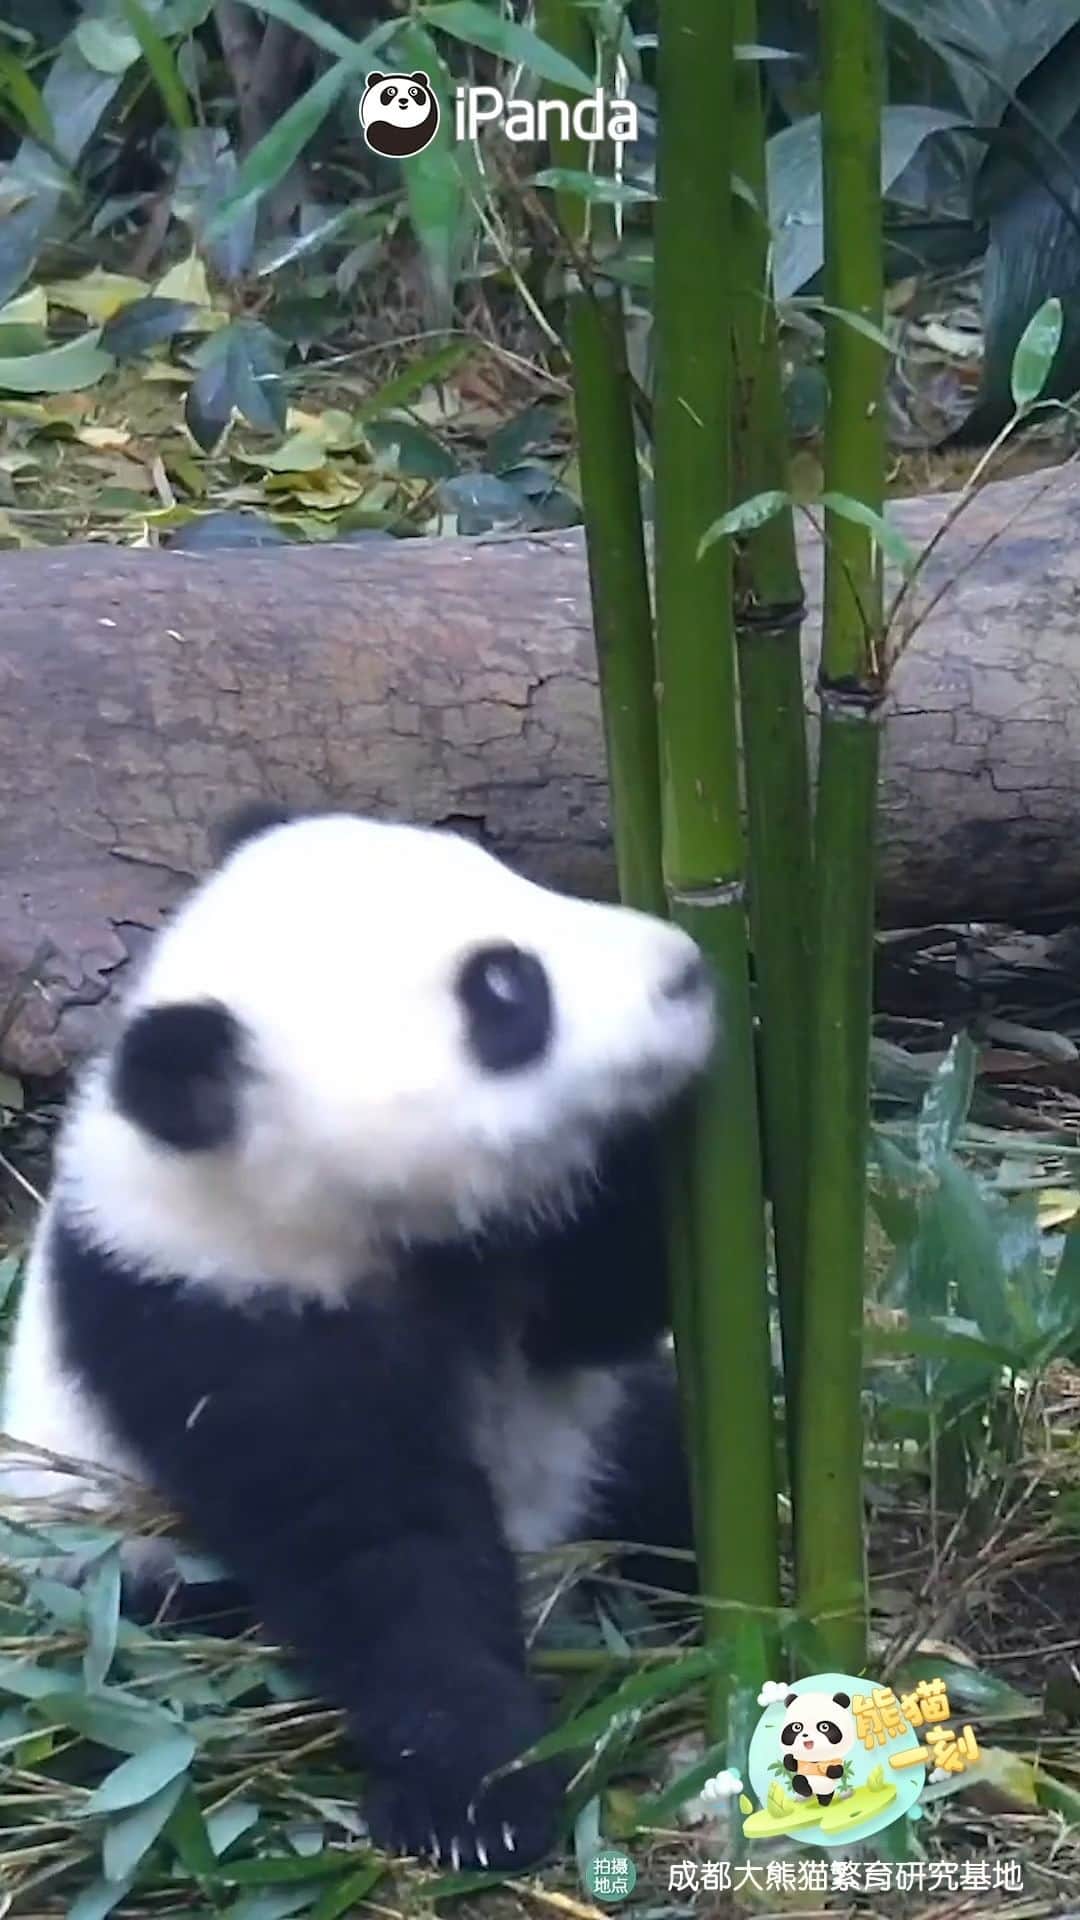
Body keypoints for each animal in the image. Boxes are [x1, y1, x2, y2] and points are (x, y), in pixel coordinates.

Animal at [2, 808, 715, 1872]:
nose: (686, 969)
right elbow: (379, 1555)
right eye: (505, 990)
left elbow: (605, 1306)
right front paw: (477, 1796)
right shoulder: (209, 1321)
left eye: (523, 880)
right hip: (108, 1571)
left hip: (605, 1447)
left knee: (661, 1476)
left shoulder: (520, 1263)